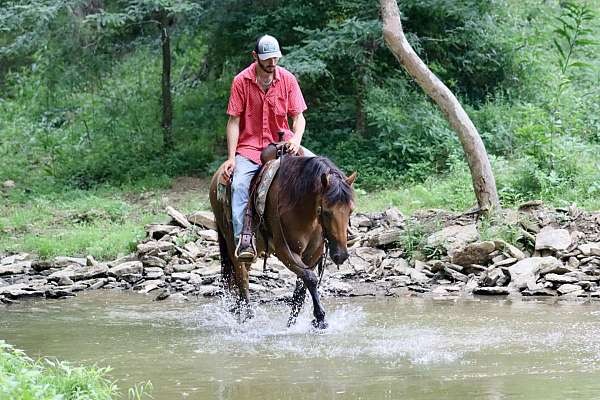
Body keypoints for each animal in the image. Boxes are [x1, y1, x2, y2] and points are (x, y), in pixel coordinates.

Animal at [210, 153, 356, 328]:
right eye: (325, 211)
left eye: (351, 210)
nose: (341, 255)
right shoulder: (284, 251)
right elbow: (310, 278)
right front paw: (320, 319)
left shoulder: (313, 255)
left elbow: (301, 289)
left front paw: (293, 323)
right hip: (232, 245)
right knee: (242, 279)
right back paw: (248, 319)